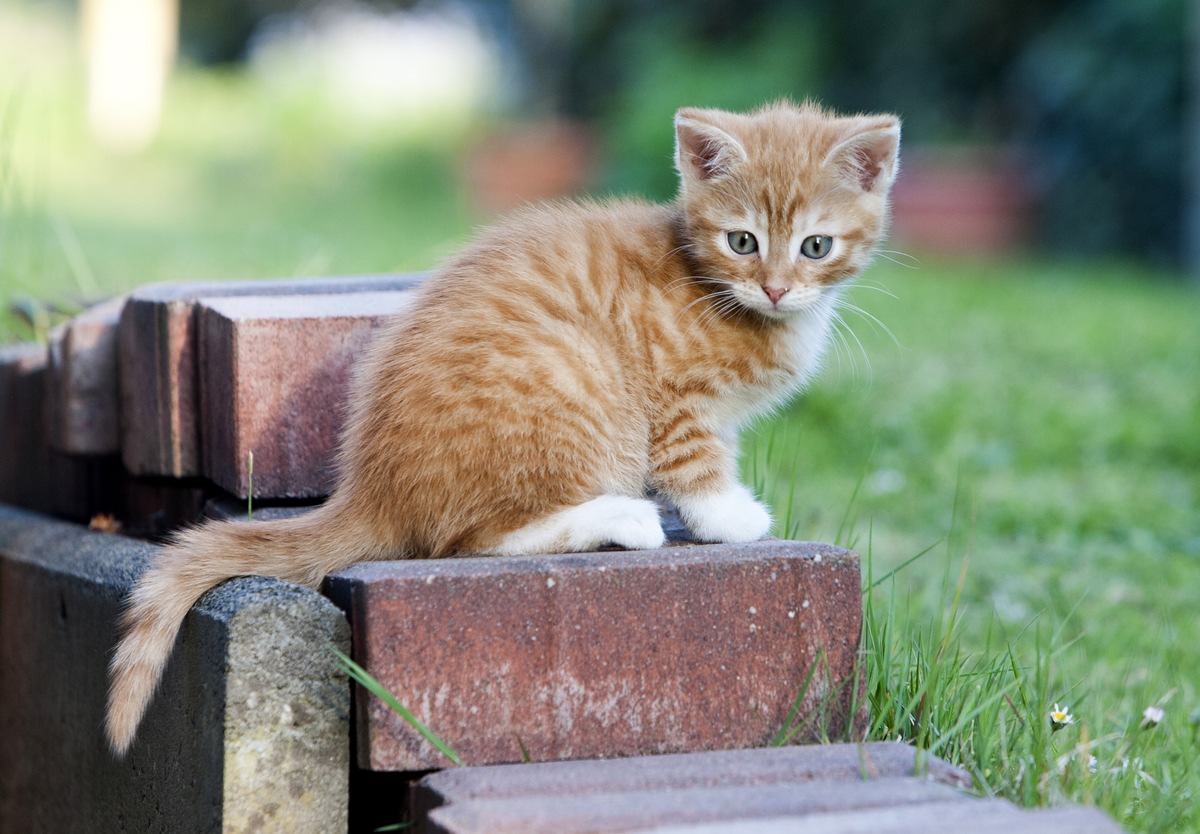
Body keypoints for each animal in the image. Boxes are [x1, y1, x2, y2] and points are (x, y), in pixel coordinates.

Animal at [108, 101, 902, 753]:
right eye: (742, 241)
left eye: (815, 247)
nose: (776, 287)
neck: (722, 294)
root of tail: (373, 485)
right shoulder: (675, 398)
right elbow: (695, 465)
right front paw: (729, 518)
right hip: (577, 376)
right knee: (472, 540)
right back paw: (618, 518)